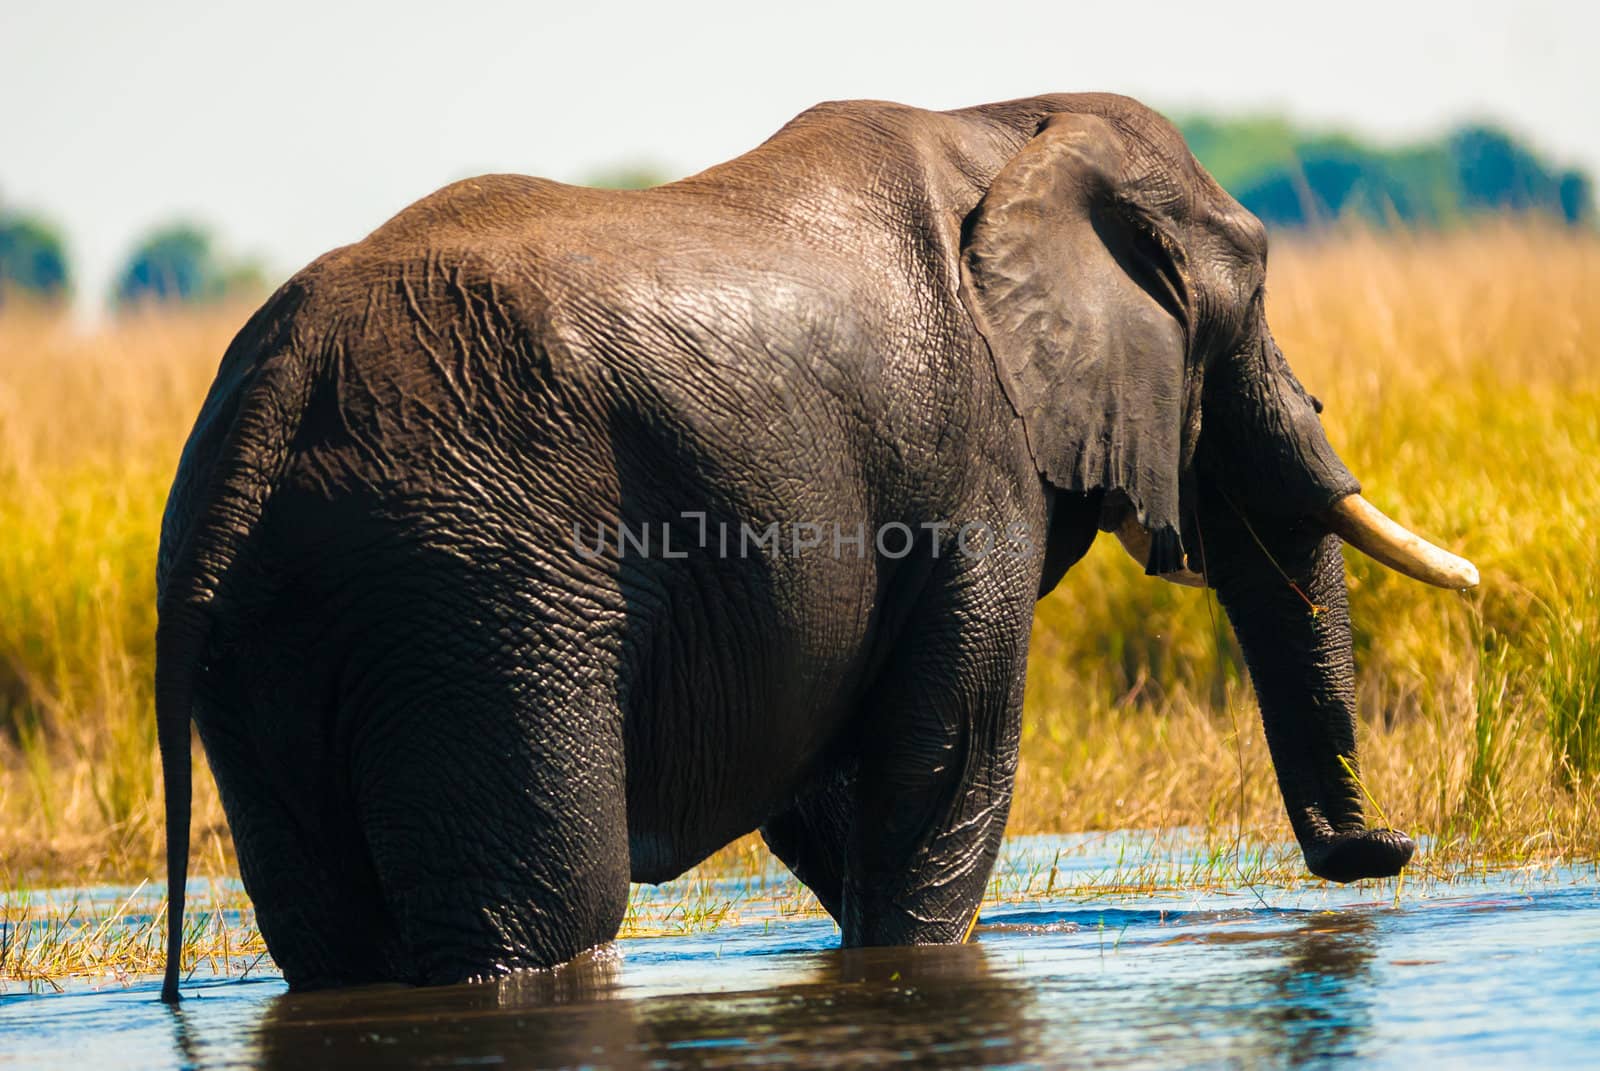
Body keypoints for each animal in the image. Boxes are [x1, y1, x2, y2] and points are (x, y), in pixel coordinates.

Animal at [156, 87, 1478, 998]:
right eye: (1248, 299)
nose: (1390, 845)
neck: (1009, 128)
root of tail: (268, 401)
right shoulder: (971, 470)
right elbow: (945, 768)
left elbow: (831, 792)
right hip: (478, 590)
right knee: (541, 909)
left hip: (287, 625)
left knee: (329, 927)